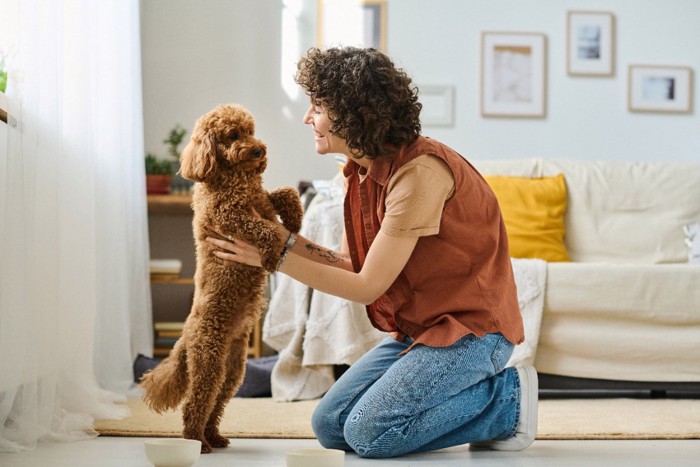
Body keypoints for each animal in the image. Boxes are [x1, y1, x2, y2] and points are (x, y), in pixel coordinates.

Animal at [141, 103, 304, 454]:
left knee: (216, 403)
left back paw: (214, 437)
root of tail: (185, 337)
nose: (259, 150)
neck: (234, 175)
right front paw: (271, 256)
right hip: (209, 361)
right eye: (231, 135)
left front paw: (296, 220)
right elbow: (265, 229)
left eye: (251, 131)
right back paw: (197, 443)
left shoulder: (263, 200)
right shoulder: (231, 215)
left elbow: (286, 193)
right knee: (195, 403)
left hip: (233, 370)